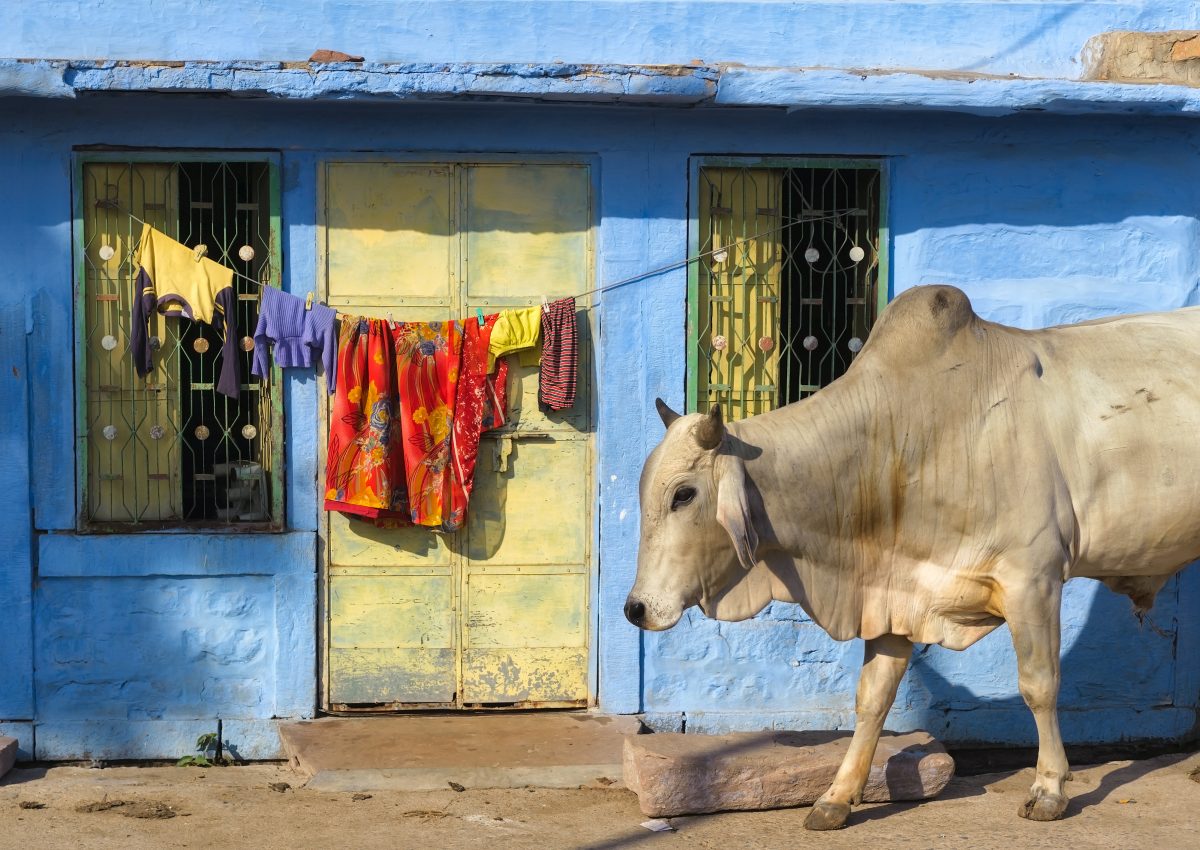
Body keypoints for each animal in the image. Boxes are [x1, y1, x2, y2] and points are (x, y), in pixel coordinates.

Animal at [624, 282, 1200, 825]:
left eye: (683, 494)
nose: (635, 608)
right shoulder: (895, 593)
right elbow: (872, 698)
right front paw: (836, 798)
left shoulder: (1033, 578)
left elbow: (1039, 685)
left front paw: (1049, 789)